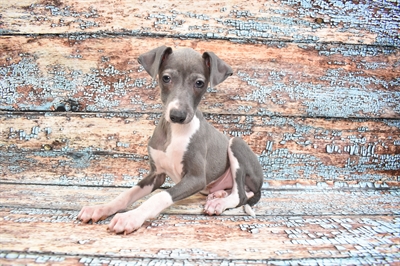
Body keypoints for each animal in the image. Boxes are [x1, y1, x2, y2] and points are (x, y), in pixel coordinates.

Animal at [79, 46, 266, 235]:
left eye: (199, 83)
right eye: (166, 78)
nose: (177, 115)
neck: (175, 133)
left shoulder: (196, 178)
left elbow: (160, 196)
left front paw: (130, 217)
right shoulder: (156, 174)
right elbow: (127, 194)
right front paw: (100, 208)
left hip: (236, 143)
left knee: (240, 195)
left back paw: (219, 203)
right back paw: (218, 195)